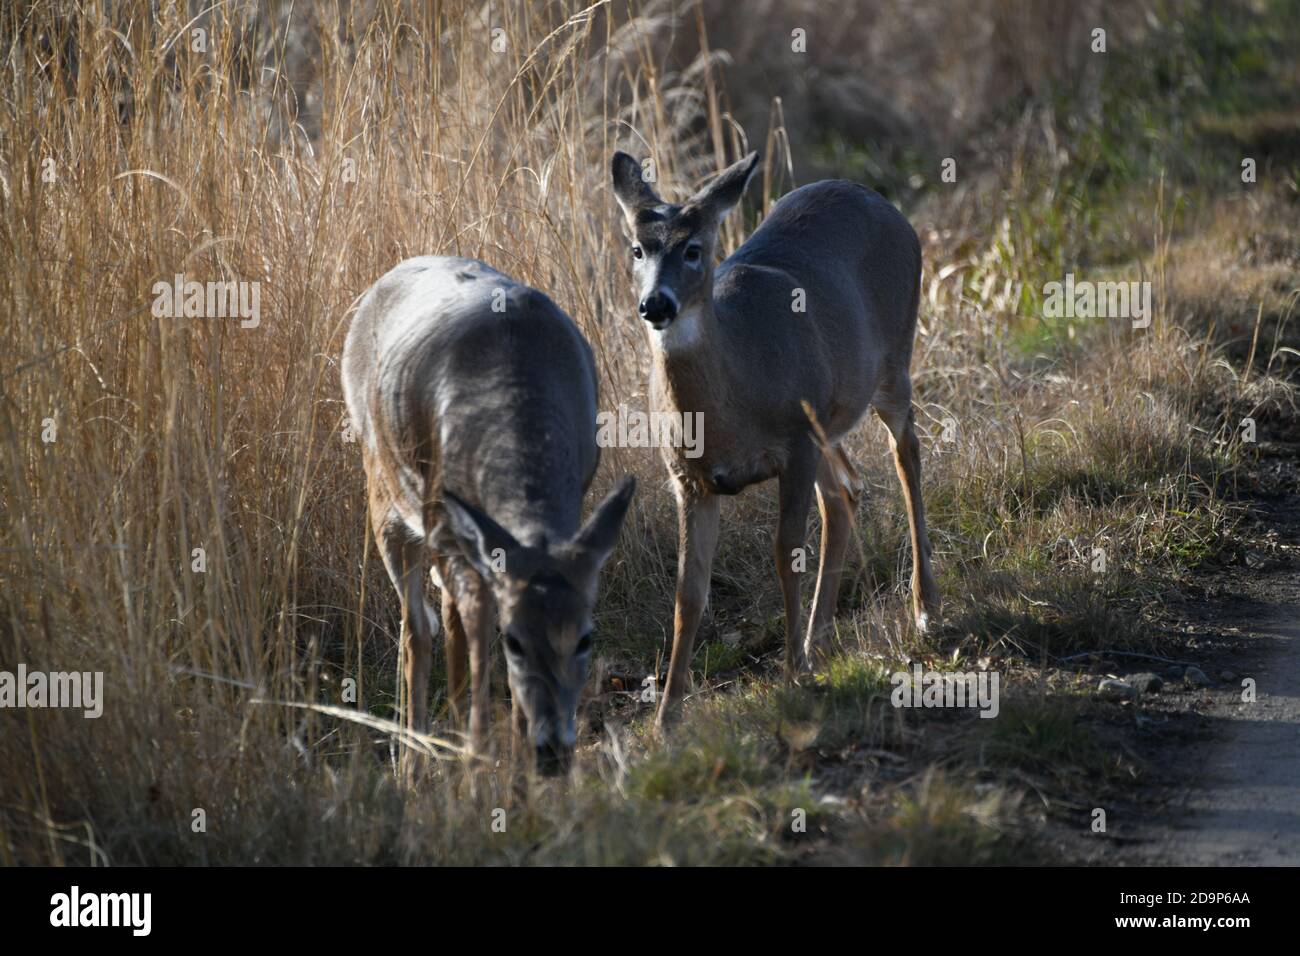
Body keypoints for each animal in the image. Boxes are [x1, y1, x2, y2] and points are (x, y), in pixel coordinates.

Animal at [340, 256, 634, 780]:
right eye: (514, 642)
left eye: (585, 637)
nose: (553, 751)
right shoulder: (446, 527)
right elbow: (473, 645)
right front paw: (477, 764)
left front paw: (517, 764)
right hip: (387, 495)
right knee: (417, 629)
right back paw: (412, 768)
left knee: (439, 617)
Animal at [613, 153, 941, 728]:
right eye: (637, 248)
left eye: (694, 249)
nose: (656, 304)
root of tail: (877, 199)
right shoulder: (689, 478)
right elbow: (688, 592)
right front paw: (667, 716)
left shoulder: (793, 444)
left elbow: (786, 551)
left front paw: (792, 676)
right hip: (828, 414)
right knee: (846, 490)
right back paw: (820, 639)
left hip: (891, 362)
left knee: (907, 457)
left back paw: (923, 607)